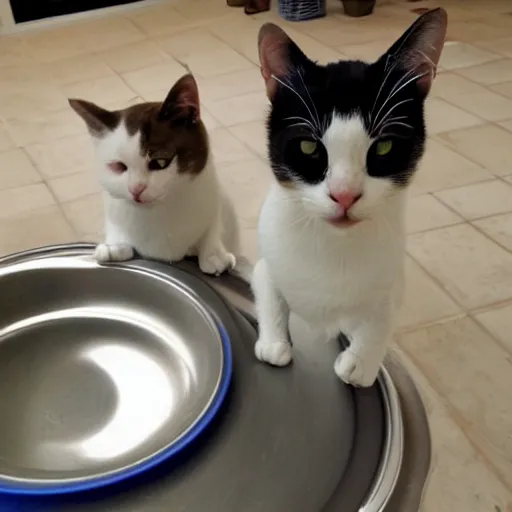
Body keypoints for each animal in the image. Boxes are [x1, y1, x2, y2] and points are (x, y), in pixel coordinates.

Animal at [68, 73, 240, 274]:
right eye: (118, 166)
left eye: (160, 162)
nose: (136, 189)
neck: (158, 211)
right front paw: (114, 247)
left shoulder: (213, 197)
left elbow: (213, 224)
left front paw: (213, 254)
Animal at [254, 8, 446, 386]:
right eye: (308, 147)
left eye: (384, 147)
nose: (344, 195)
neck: (334, 247)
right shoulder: (266, 258)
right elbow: (268, 287)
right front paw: (273, 344)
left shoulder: (392, 275)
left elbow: (381, 314)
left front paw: (361, 362)